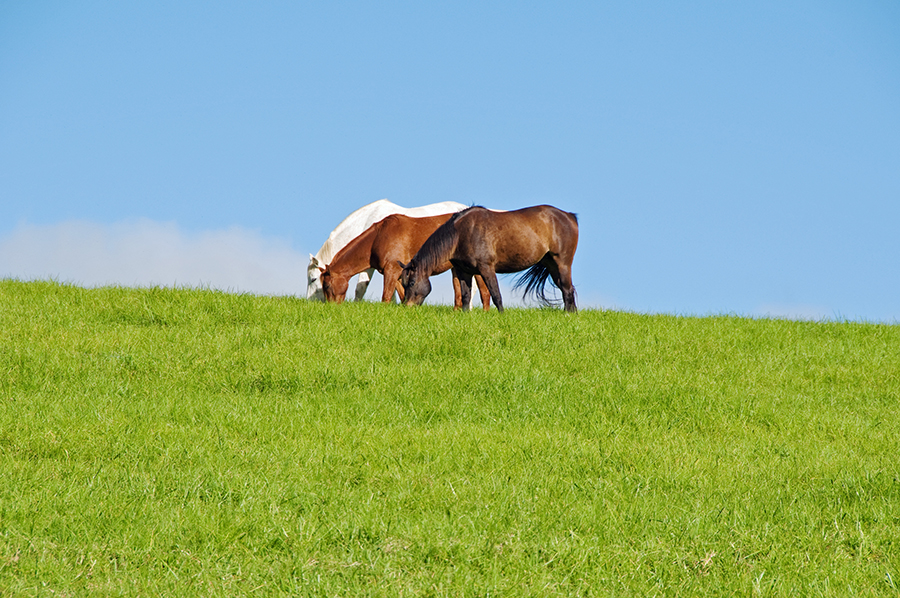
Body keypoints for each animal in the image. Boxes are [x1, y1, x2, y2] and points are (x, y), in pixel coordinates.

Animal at [318, 213, 492, 309]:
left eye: (326, 285)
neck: (378, 237)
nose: (330, 307)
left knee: (484, 291)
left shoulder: (392, 271)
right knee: (459, 294)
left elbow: (386, 297)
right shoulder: (396, 273)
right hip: (456, 268)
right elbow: (402, 297)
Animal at [399, 205, 578, 313]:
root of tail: (569, 216)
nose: (406, 307)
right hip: (551, 265)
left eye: (412, 282)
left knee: (567, 289)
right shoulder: (464, 272)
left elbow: (496, 294)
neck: (462, 234)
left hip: (562, 263)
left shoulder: (486, 268)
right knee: (565, 289)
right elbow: (465, 296)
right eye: (403, 283)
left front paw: (502, 315)